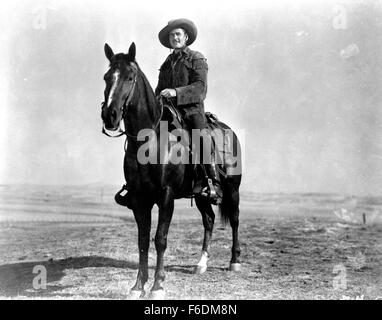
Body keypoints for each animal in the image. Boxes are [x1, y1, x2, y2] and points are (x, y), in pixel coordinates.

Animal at [100, 42, 240, 298]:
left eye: (130, 77)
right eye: (107, 77)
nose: (110, 116)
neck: (149, 142)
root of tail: (229, 130)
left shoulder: (166, 196)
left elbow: (160, 239)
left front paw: (157, 286)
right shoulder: (139, 198)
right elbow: (142, 240)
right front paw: (138, 286)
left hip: (233, 189)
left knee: (234, 220)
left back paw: (235, 261)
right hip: (202, 195)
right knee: (209, 220)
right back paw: (201, 264)